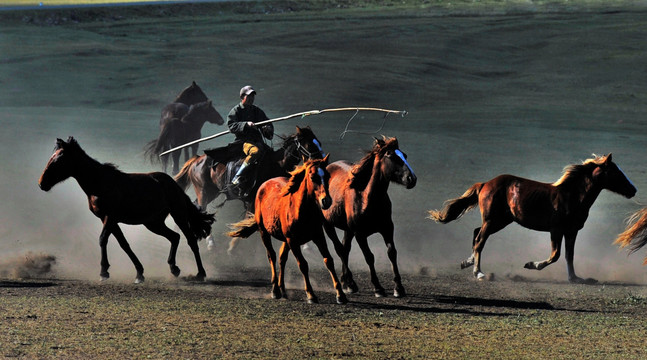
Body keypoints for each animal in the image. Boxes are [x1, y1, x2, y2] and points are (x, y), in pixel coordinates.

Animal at [38, 136, 215, 282]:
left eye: (59, 159)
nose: (41, 183)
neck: (100, 183)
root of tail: (173, 184)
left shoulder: (109, 217)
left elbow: (103, 239)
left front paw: (104, 272)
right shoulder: (108, 219)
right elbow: (124, 244)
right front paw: (139, 273)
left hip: (178, 215)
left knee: (190, 240)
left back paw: (200, 274)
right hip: (153, 223)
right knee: (175, 237)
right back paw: (174, 268)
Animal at [228, 157, 350, 304]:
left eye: (327, 176)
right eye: (313, 177)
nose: (326, 201)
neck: (302, 211)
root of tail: (265, 184)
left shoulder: (318, 236)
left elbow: (328, 260)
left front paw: (340, 295)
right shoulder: (293, 241)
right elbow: (303, 264)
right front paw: (311, 295)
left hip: (285, 239)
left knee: (282, 257)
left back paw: (283, 290)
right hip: (265, 233)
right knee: (272, 256)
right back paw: (275, 290)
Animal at [322, 136, 418, 296]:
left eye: (405, 155)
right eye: (391, 155)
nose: (412, 178)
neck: (367, 198)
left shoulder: (387, 228)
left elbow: (392, 253)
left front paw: (398, 287)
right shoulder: (360, 234)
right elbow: (369, 257)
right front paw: (378, 287)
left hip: (348, 229)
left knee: (345, 249)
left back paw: (346, 282)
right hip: (328, 225)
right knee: (340, 249)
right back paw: (350, 283)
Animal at [430, 153, 636, 282]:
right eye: (616, 172)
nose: (633, 190)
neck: (572, 196)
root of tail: (485, 184)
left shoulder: (571, 231)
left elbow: (569, 256)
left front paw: (576, 278)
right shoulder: (556, 230)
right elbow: (555, 255)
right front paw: (531, 265)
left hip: (500, 221)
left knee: (476, 234)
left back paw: (467, 262)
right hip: (491, 220)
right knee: (480, 240)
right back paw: (479, 273)